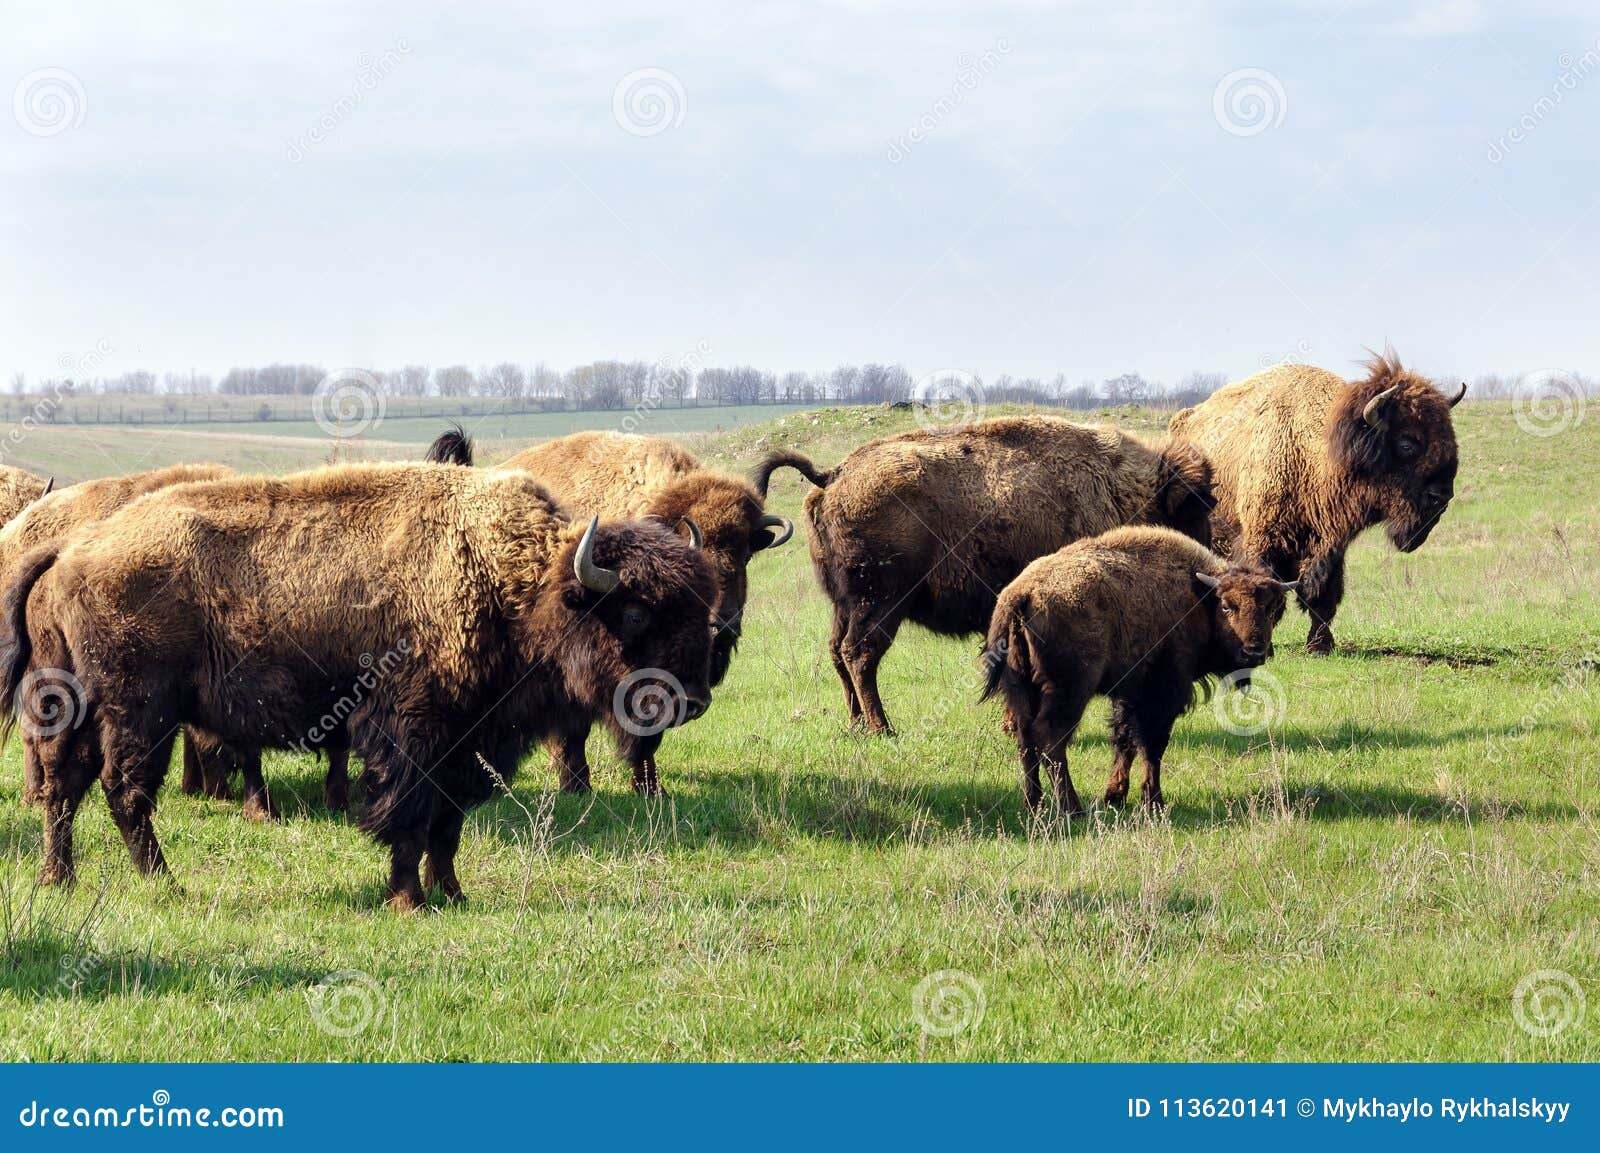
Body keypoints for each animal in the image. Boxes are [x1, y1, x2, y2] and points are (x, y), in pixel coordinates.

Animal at [0, 460, 713, 908]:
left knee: (67, 784)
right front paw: (408, 900)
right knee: (123, 791)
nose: (693, 699)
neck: (515, 579)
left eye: (700, 607)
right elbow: (408, 817)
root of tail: (71, 551)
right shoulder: (414, 735)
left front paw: (452, 892)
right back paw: (164, 885)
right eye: (636, 613)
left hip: (81, 704)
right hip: (141, 712)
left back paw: (59, 880)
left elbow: (447, 824)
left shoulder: (467, 743)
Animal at [748, 418, 1209, 732]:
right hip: (878, 603)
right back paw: (882, 728)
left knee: (837, 652)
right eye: (1194, 511)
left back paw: (858, 725)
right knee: (859, 654)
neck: (1118, 488)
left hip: (843, 604)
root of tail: (833, 475)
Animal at [972, 527, 1299, 809]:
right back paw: (1072, 808)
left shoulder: (1128, 693)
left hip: (1020, 689)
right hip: (1070, 691)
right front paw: (1153, 801)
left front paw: (1114, 795)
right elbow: (1152, 745)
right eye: (1228, 606)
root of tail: (1022, 594)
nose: (1254, 651)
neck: (1198, 597)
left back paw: (1034, 805)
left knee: (1026, 739)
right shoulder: (1162, 692)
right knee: (1051, 738)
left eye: (1271, 608)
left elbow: (1124, 740)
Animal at [1164, 350, 1465, 655]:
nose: (1441, 496)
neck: (1314, 451)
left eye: (1450, 440)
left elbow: (1323, 597)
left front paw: (1320, 645)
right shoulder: (1262, 539)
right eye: (1406, 444)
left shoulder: (1330, 546)